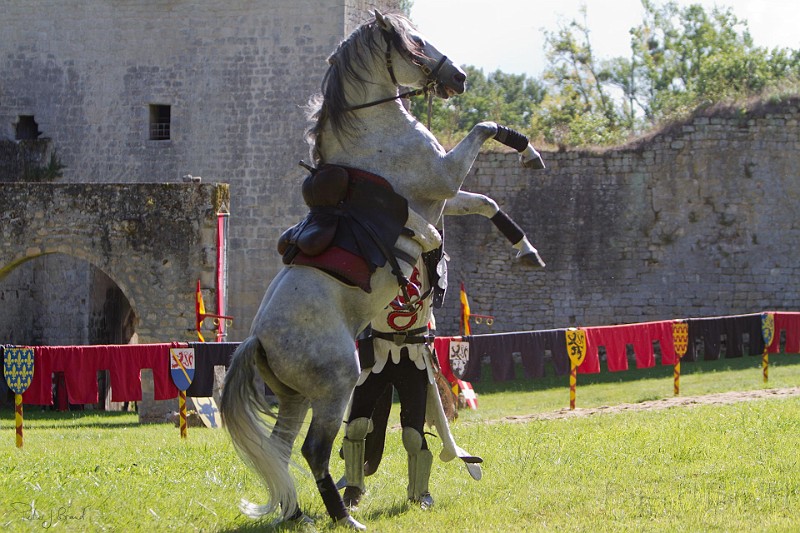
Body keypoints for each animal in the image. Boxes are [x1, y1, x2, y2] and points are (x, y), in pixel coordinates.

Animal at [219, 9, 544, 528]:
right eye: (415, 43)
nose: (459, 77)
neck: (375, 131)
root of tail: (259, 340)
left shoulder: (443, 197)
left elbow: (487, 203)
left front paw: (526, 248)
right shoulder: (443, 180)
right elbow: (484, 128)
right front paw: (526, 150)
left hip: (293, 398)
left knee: (280, 449)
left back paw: (296, 515)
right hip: (335, 389)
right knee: (314, 450)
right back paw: (342, 516)